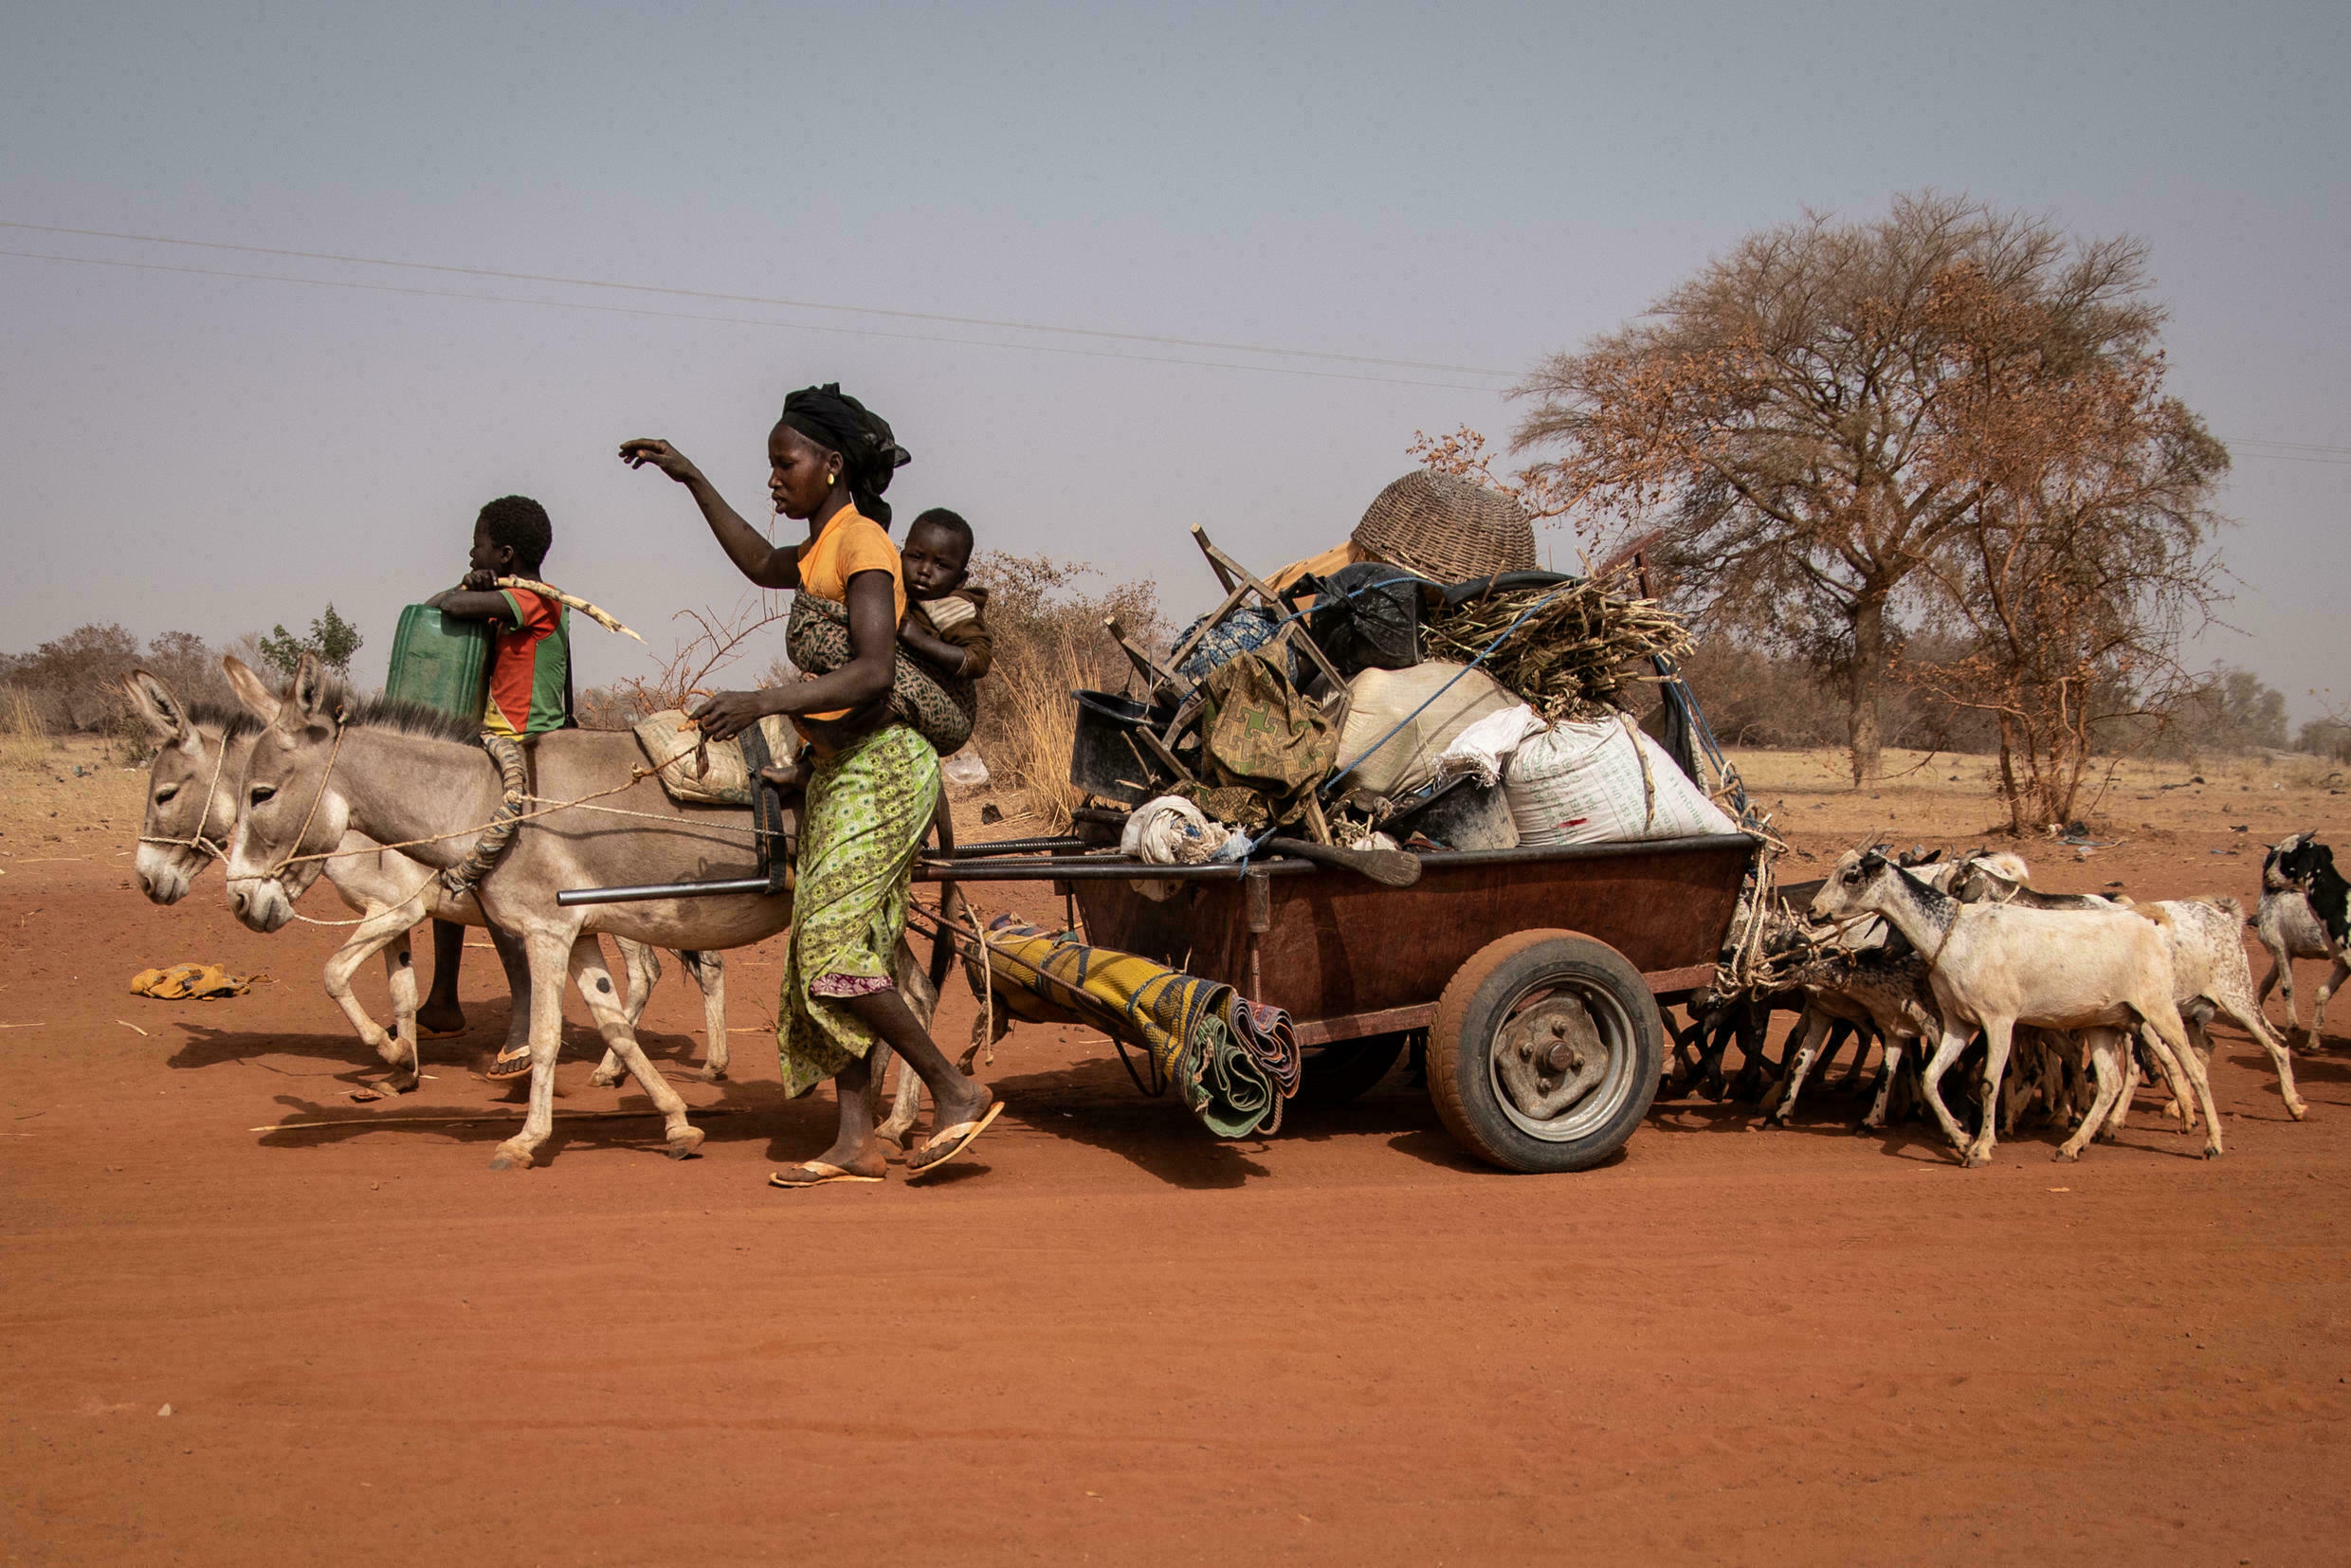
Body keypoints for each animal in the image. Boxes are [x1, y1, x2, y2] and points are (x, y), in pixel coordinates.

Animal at [1805, 846, 2210, 1165]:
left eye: (1852, 875)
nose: (1813, 911)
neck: (1958, 933)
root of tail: (2152, 926)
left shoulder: (1999, 1021)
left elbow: (1988, 1082)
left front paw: (1982, 1148)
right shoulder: (1958, 1024)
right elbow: (1931, 1077)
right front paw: (1960, 1136)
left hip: (2158, 1012)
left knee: (2191, 1066)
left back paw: (2206, 1138)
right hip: (2105, 1022)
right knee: (2111, 1080)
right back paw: (2073, 1143)